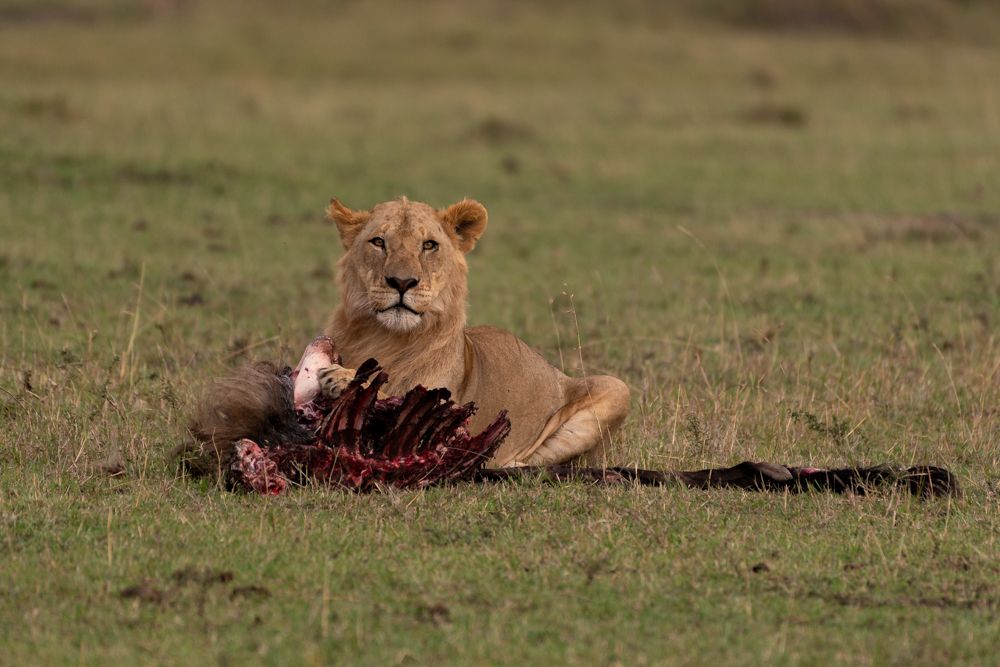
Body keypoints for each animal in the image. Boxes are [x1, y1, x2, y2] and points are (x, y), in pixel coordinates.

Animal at [318, 196, 630, 467]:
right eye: (378, 242)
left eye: (429, 245)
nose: (402, 281)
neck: (387, 338)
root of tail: (557, 373)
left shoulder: (445, 418)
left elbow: (393, 400)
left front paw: (342, 377)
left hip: (617, 388)